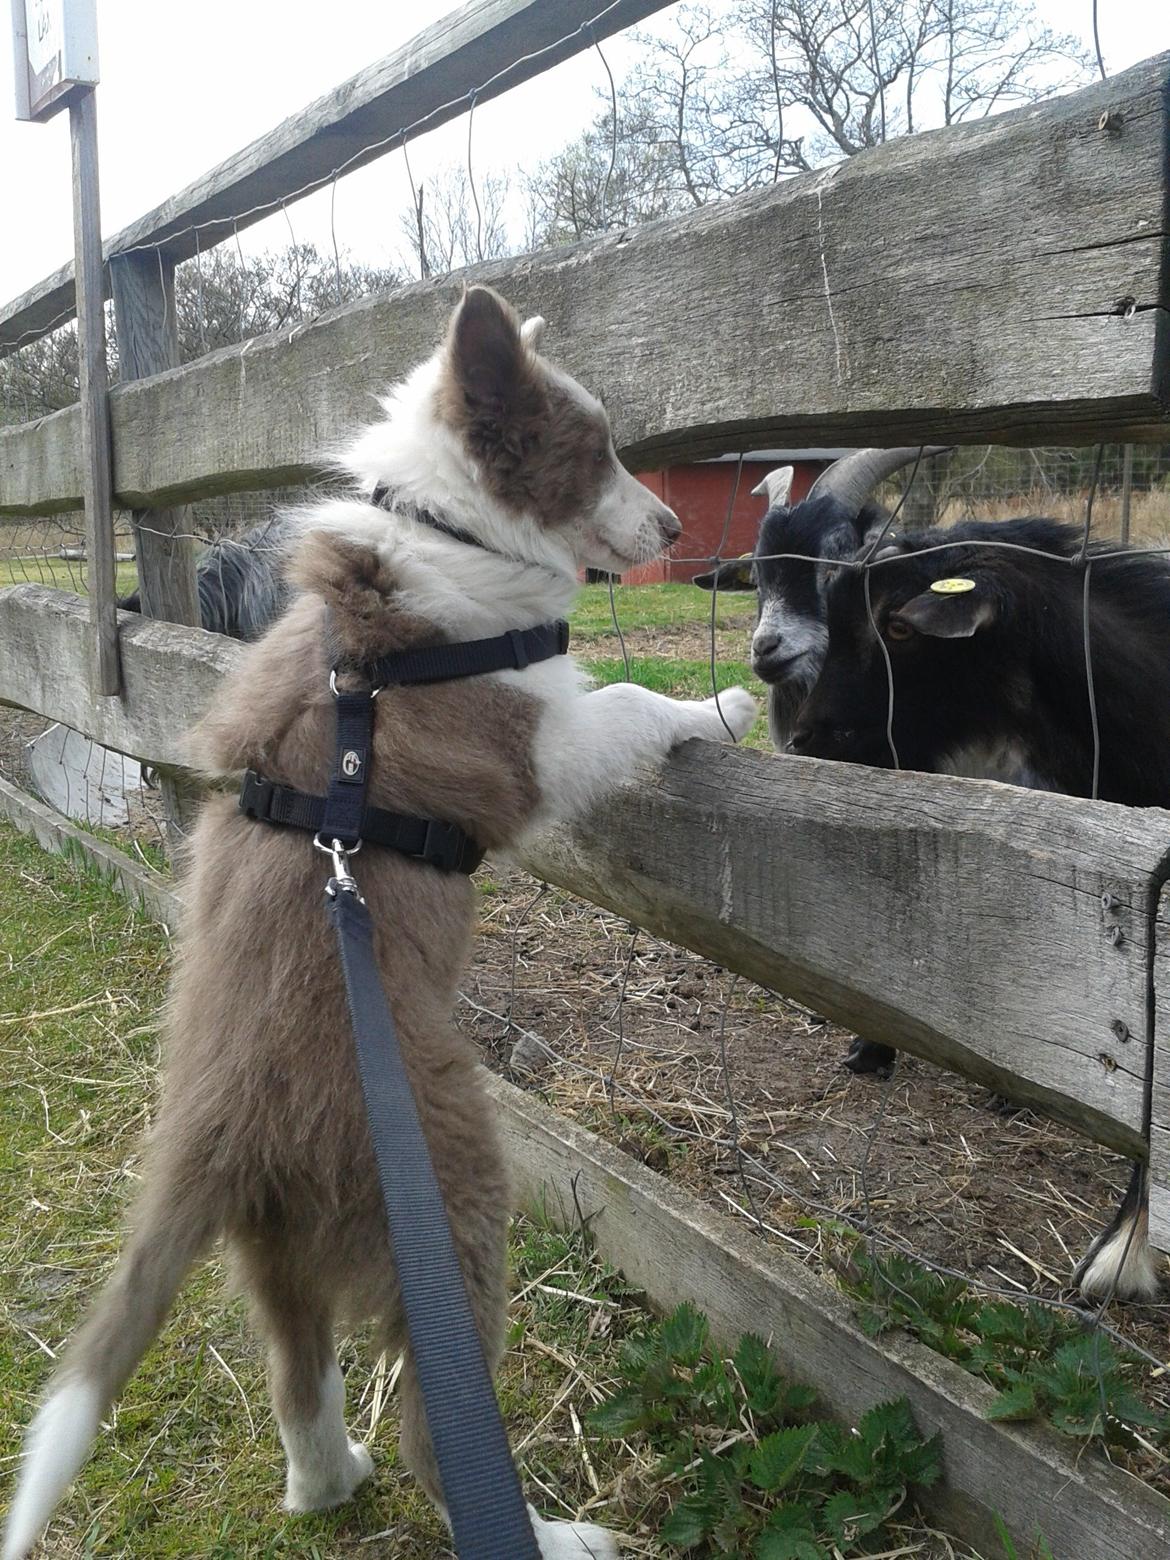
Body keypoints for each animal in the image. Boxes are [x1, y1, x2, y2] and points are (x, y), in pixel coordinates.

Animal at [2, 290, 761, 1560]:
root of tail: (216, 1125)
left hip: (278, 1244)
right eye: (592, 450)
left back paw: (329, 1479)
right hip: (451, 1198)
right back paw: (550, 1535)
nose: (671, 524)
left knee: (298, 1380)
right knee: (433, 1433)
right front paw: (726, 703)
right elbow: (628, 701)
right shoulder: (540, 742)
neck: (440, 537)